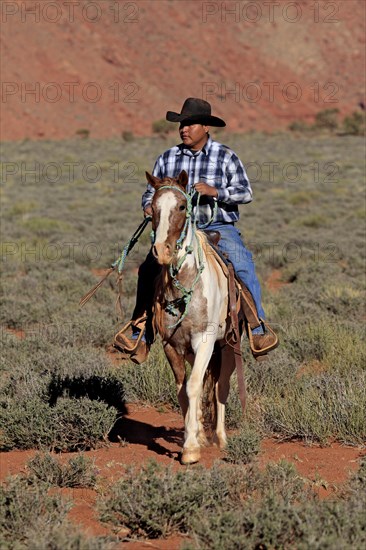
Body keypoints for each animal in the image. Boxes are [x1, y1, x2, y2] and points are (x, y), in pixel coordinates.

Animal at [147, 170, 242, 464]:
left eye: (181, 206)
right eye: (151, 208)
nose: (162, 251)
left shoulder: (205, 340)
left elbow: (194, 387)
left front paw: (190, 449)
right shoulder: (171, 345)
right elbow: (183, 390)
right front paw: (194, 437)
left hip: (227, 346)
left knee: (220, 387)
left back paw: (221, 438)